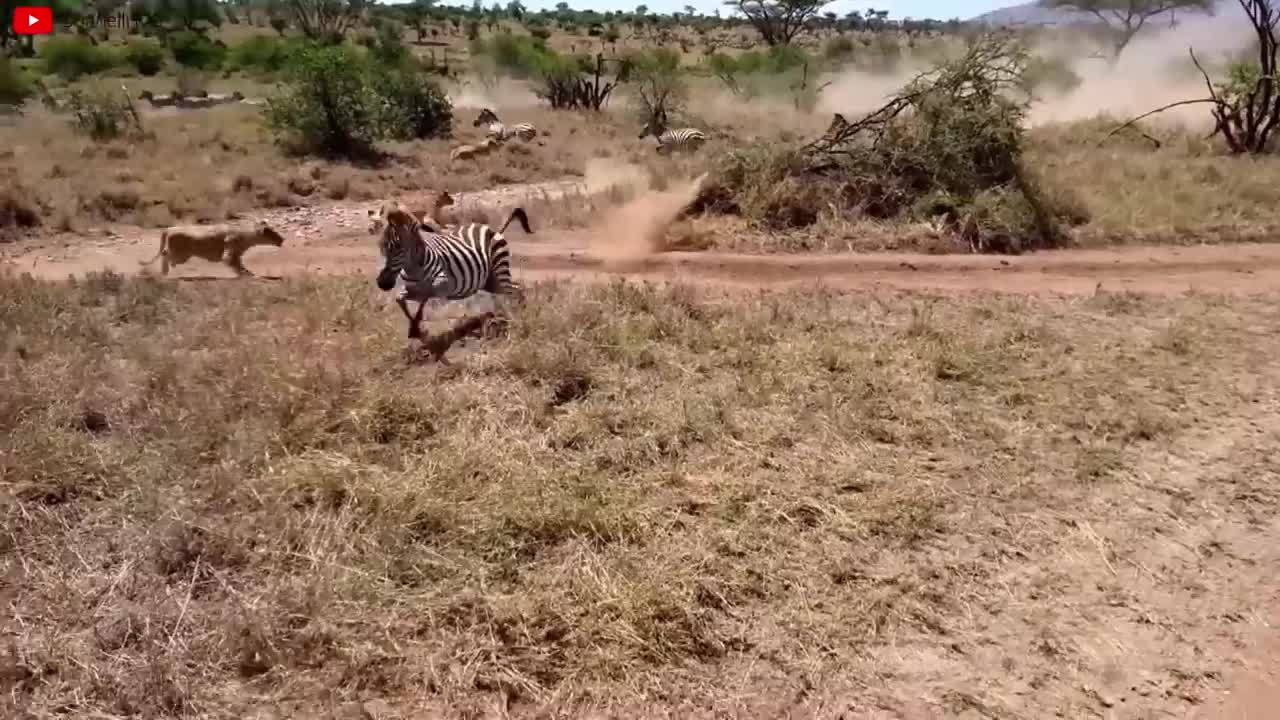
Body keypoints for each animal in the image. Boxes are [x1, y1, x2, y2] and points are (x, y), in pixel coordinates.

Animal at [141, 217, 289, 275]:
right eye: (271, 232)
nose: (282, 239)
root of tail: (170, 228)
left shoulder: (236, 255)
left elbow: (239, 264)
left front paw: (247, 273)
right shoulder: (229, 252)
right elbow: (235, 265)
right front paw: (245, 275)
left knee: (165, 255)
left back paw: (164, 272)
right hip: (181, 254)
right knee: (166, 255)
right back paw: (165, 272)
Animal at [373, 199, 532, 338]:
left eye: (399, 248)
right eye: (381, 247)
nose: (382, 283)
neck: (414, 268)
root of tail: (492, 229)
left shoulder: (443, 283)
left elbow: (426, 295)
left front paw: (417, 324)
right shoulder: (411, 288)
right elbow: (400, 299)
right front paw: (414, 327)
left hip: (499, 271)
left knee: (512, 292)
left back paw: (513, 320)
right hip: (489, 282)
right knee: (517, 289)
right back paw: (521, 312)